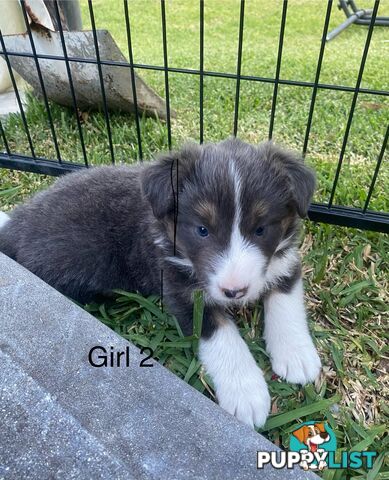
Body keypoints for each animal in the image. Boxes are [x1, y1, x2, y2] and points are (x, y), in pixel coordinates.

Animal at [0, 139, 320, 428]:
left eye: (261, 229)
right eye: (202, 230)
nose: (234, 291)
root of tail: (15, 226)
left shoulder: (285, 260)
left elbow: (285, 300)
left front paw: (297, 356)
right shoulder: (180, 290)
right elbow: (222, 335)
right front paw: (246, 392)